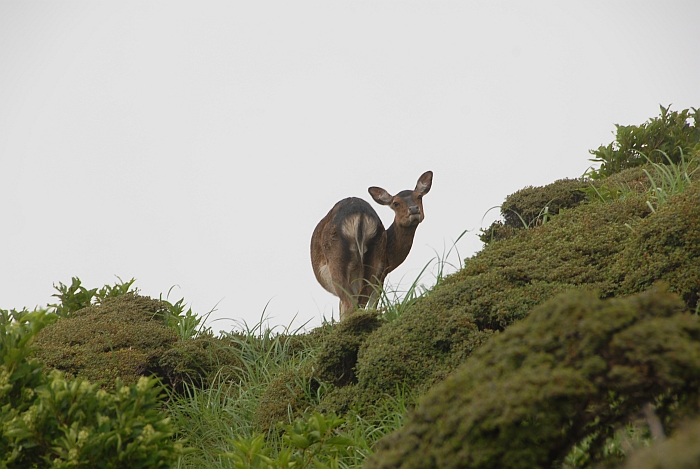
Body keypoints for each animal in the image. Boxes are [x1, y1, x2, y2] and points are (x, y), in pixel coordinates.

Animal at [310, 170, 432, 320]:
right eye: (395, 203)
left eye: (419, 196)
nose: (414, 209)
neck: (390, 258)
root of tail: (359, 216)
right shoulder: (381, 273)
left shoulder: (381, 274)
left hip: (338, 260)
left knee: (353, 304)